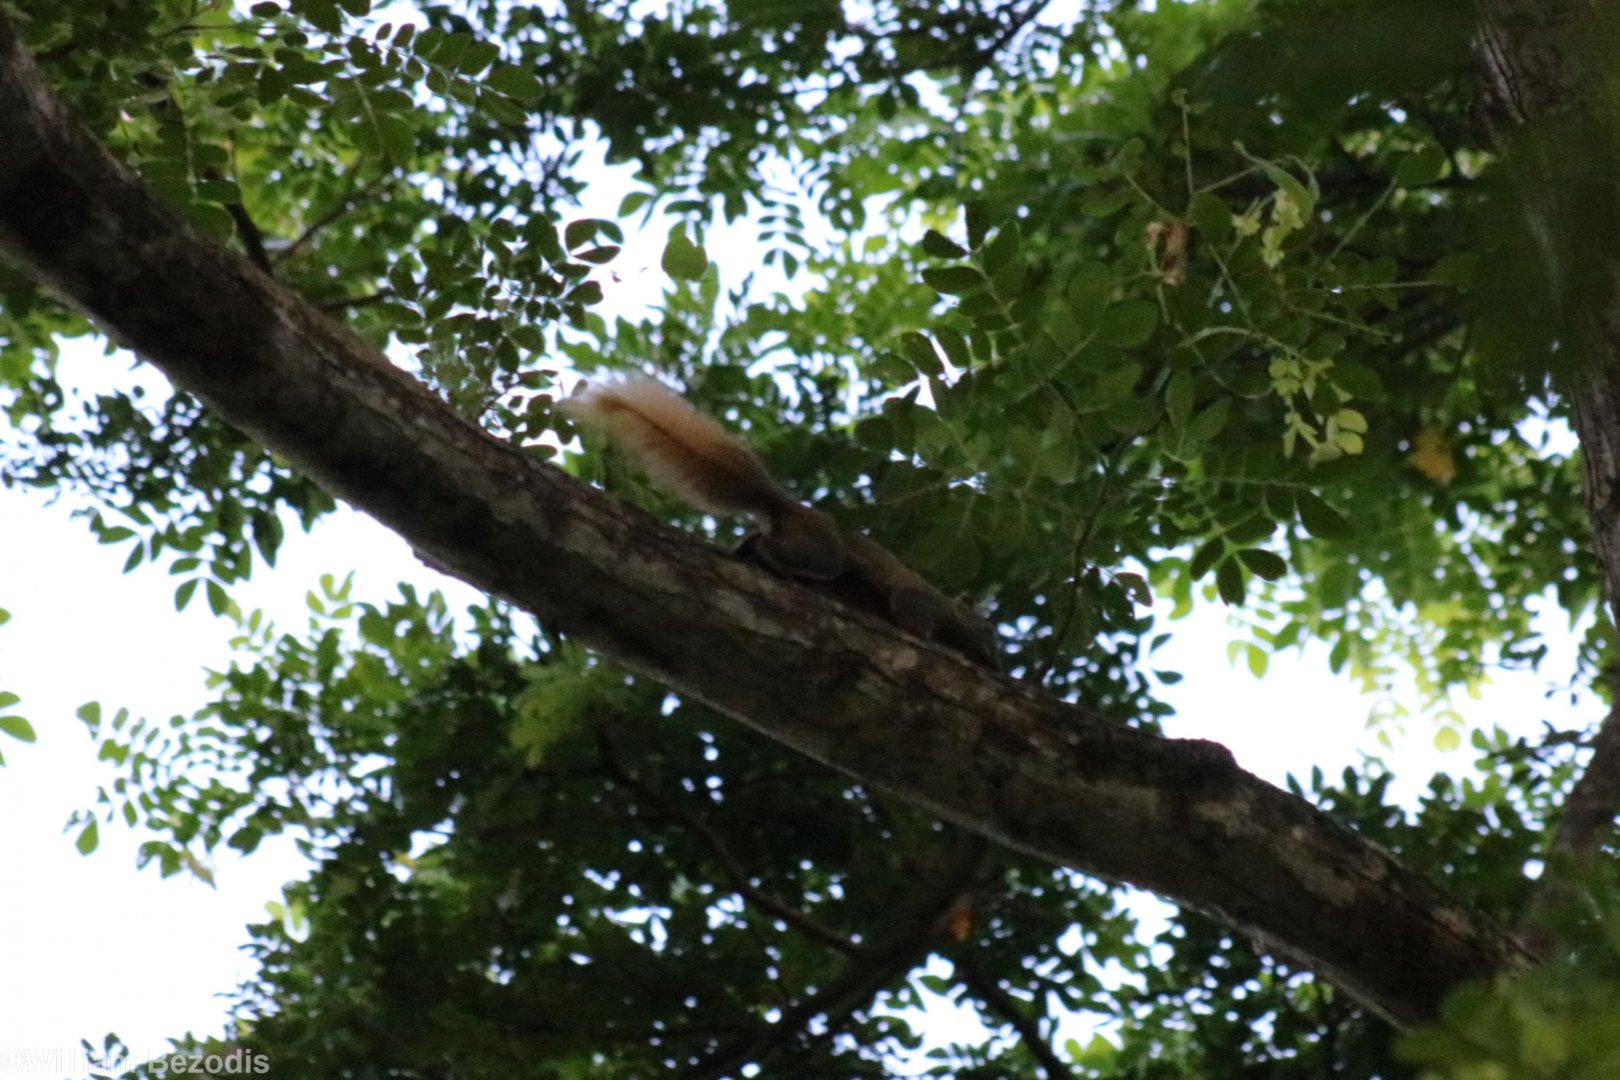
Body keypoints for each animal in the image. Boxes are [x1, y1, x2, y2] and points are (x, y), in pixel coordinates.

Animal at [562, 377, 998, 667]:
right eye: (989, 631)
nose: (996, 662)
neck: (950, 615)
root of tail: (789, 508)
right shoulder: (922, 602)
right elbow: (911, 616)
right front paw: (925, 638)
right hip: (821, 552)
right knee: (785, 552)